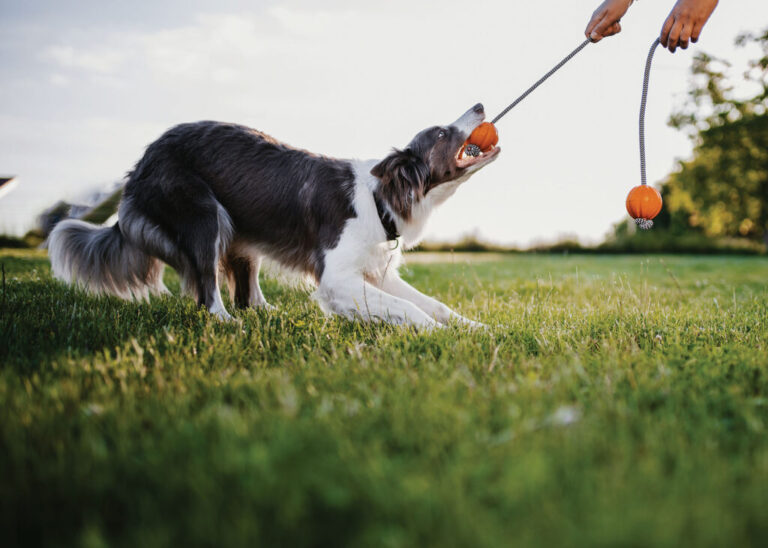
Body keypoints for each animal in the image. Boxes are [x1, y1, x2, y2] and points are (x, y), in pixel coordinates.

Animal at [51, 103, 500, 328]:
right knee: (207, 289)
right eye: (441, 133)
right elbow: (409, 310)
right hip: (203, 212)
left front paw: (476, 329)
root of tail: (140, 164)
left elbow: (433, 304)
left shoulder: (376, 271)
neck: (380, 196)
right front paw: (438, 335)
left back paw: (267, 314)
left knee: (245, 291)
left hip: (241, 229)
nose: (479, 104)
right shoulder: (337, 277)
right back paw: (227, 323)